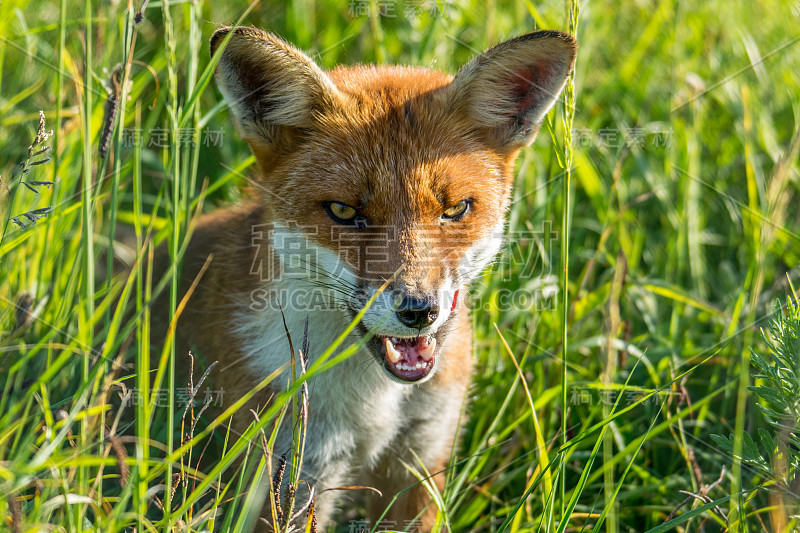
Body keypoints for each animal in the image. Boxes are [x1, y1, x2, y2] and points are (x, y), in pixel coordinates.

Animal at [162, 27, 576, 528]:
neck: (375, 404)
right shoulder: (288, 478)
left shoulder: (419, 460)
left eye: (455, 209)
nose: (419, 311)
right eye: (343, 211)